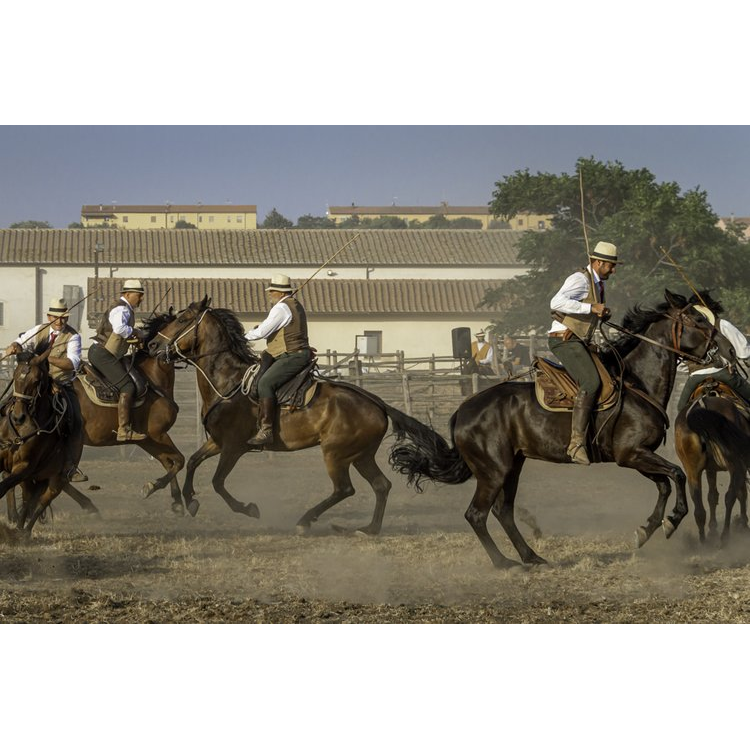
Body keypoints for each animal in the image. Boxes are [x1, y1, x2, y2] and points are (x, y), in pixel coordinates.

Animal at [0, 350, 83, 536]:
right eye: (15, 375)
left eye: (37, 380)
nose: (18, 417)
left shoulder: (24, 466)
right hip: (33, 478)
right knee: (28, 499)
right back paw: (18, 529)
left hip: (56, 479)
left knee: (41, 502)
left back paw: (23, 533)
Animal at [148, 296, 440, 536]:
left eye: (182, 319)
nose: (152, 344)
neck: (229, 382)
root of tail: (376, 403)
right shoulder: (217, 442)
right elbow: (193, 462)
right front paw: (189, 500)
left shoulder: (233, 447)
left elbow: (218, 482)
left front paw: (248, 508)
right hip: (361, 455)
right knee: (381, 485)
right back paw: (368, 529)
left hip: (336, 454)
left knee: (345, 489)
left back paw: (305, 520)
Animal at [390, 292, 736, 568]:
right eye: (697, 319)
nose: (730, 352)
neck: (636, 381)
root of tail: (462, 410)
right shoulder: (631, 454)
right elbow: (676, 475)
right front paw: (672, 521)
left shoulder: (634, 456)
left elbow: (664, 484)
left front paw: (648, 528)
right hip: (493, 470)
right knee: (476, 514)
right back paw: (505, 563)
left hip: (512, 466)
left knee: (503, 511)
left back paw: (532, 557)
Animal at [676, 394, 750, 548]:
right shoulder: (741, 466)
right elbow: (741, 494)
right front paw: (744, 525)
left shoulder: (710, 469)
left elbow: (712, 496)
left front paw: (712, 529)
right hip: (735, 466)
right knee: (730, 496)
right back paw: (725, 536)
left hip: (692, 471)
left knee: (699, 507)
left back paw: (704, 542)